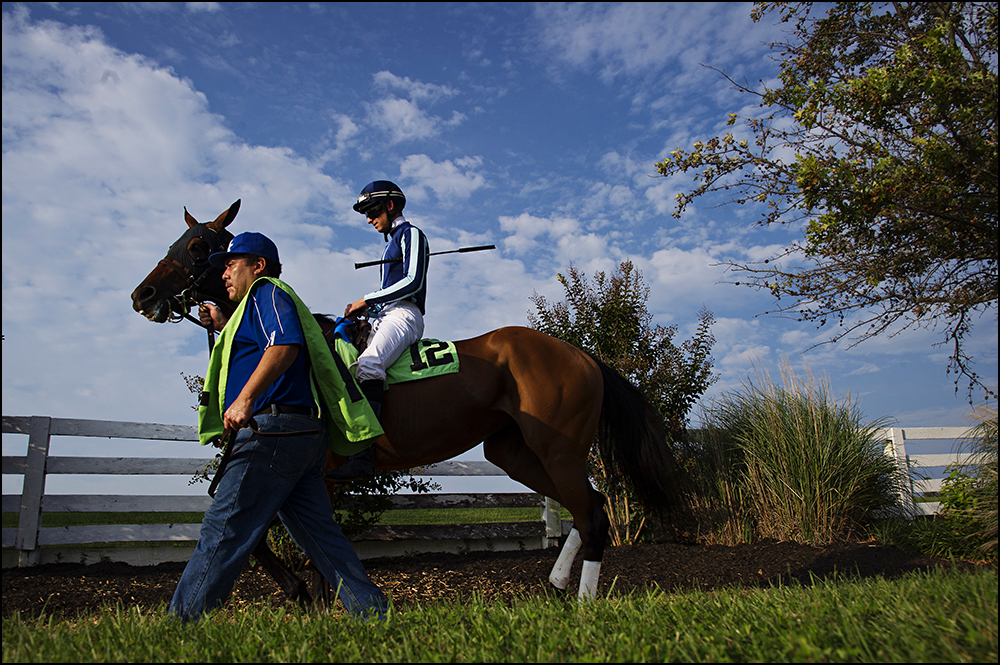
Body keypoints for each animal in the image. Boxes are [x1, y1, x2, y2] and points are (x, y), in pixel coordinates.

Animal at [129, 197, 684, 600]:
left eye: (198, 245)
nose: (142, 295)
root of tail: (581, 354)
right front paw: (305, 596)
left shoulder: (317, 470)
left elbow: (298, 545)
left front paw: (312, 599)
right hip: (515, 452)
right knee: (587, 505)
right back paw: (556, 585)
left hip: (560, 450)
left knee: (591, 514)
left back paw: (586, 603)